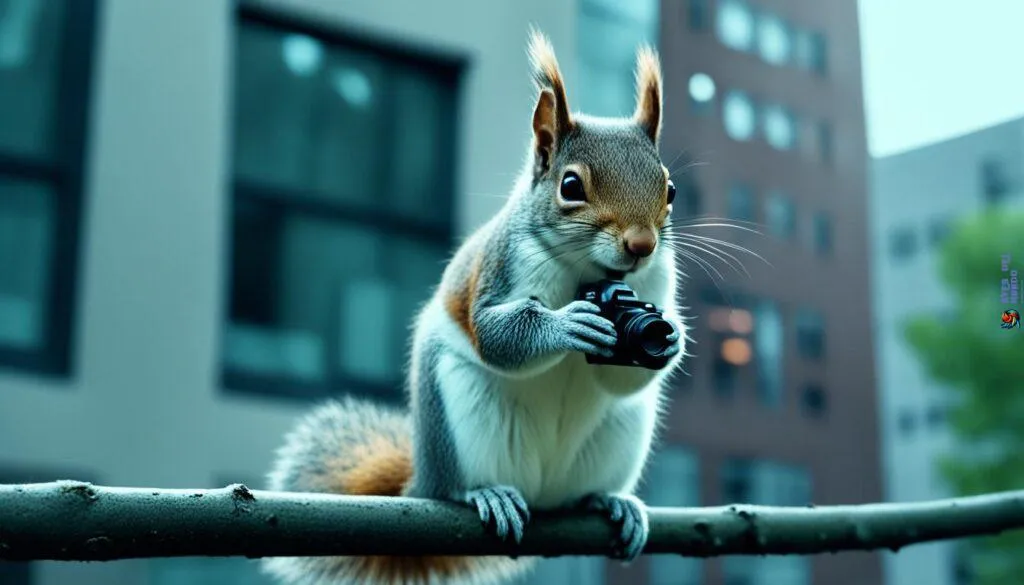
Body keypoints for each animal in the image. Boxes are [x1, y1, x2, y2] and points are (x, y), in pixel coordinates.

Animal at [262, 28, 687, 585]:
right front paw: (566, 326)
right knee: (459, 484)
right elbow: (496, 335)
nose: (641, 245)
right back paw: (486, 494)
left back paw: (612, 503)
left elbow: (624, 374)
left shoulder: (656, 284)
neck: (590, 274)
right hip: (461, 417)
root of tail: (420, 483)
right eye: (571, 186)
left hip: (621, 431)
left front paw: (671, 338)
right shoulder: (501, 268)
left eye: (670, 189)